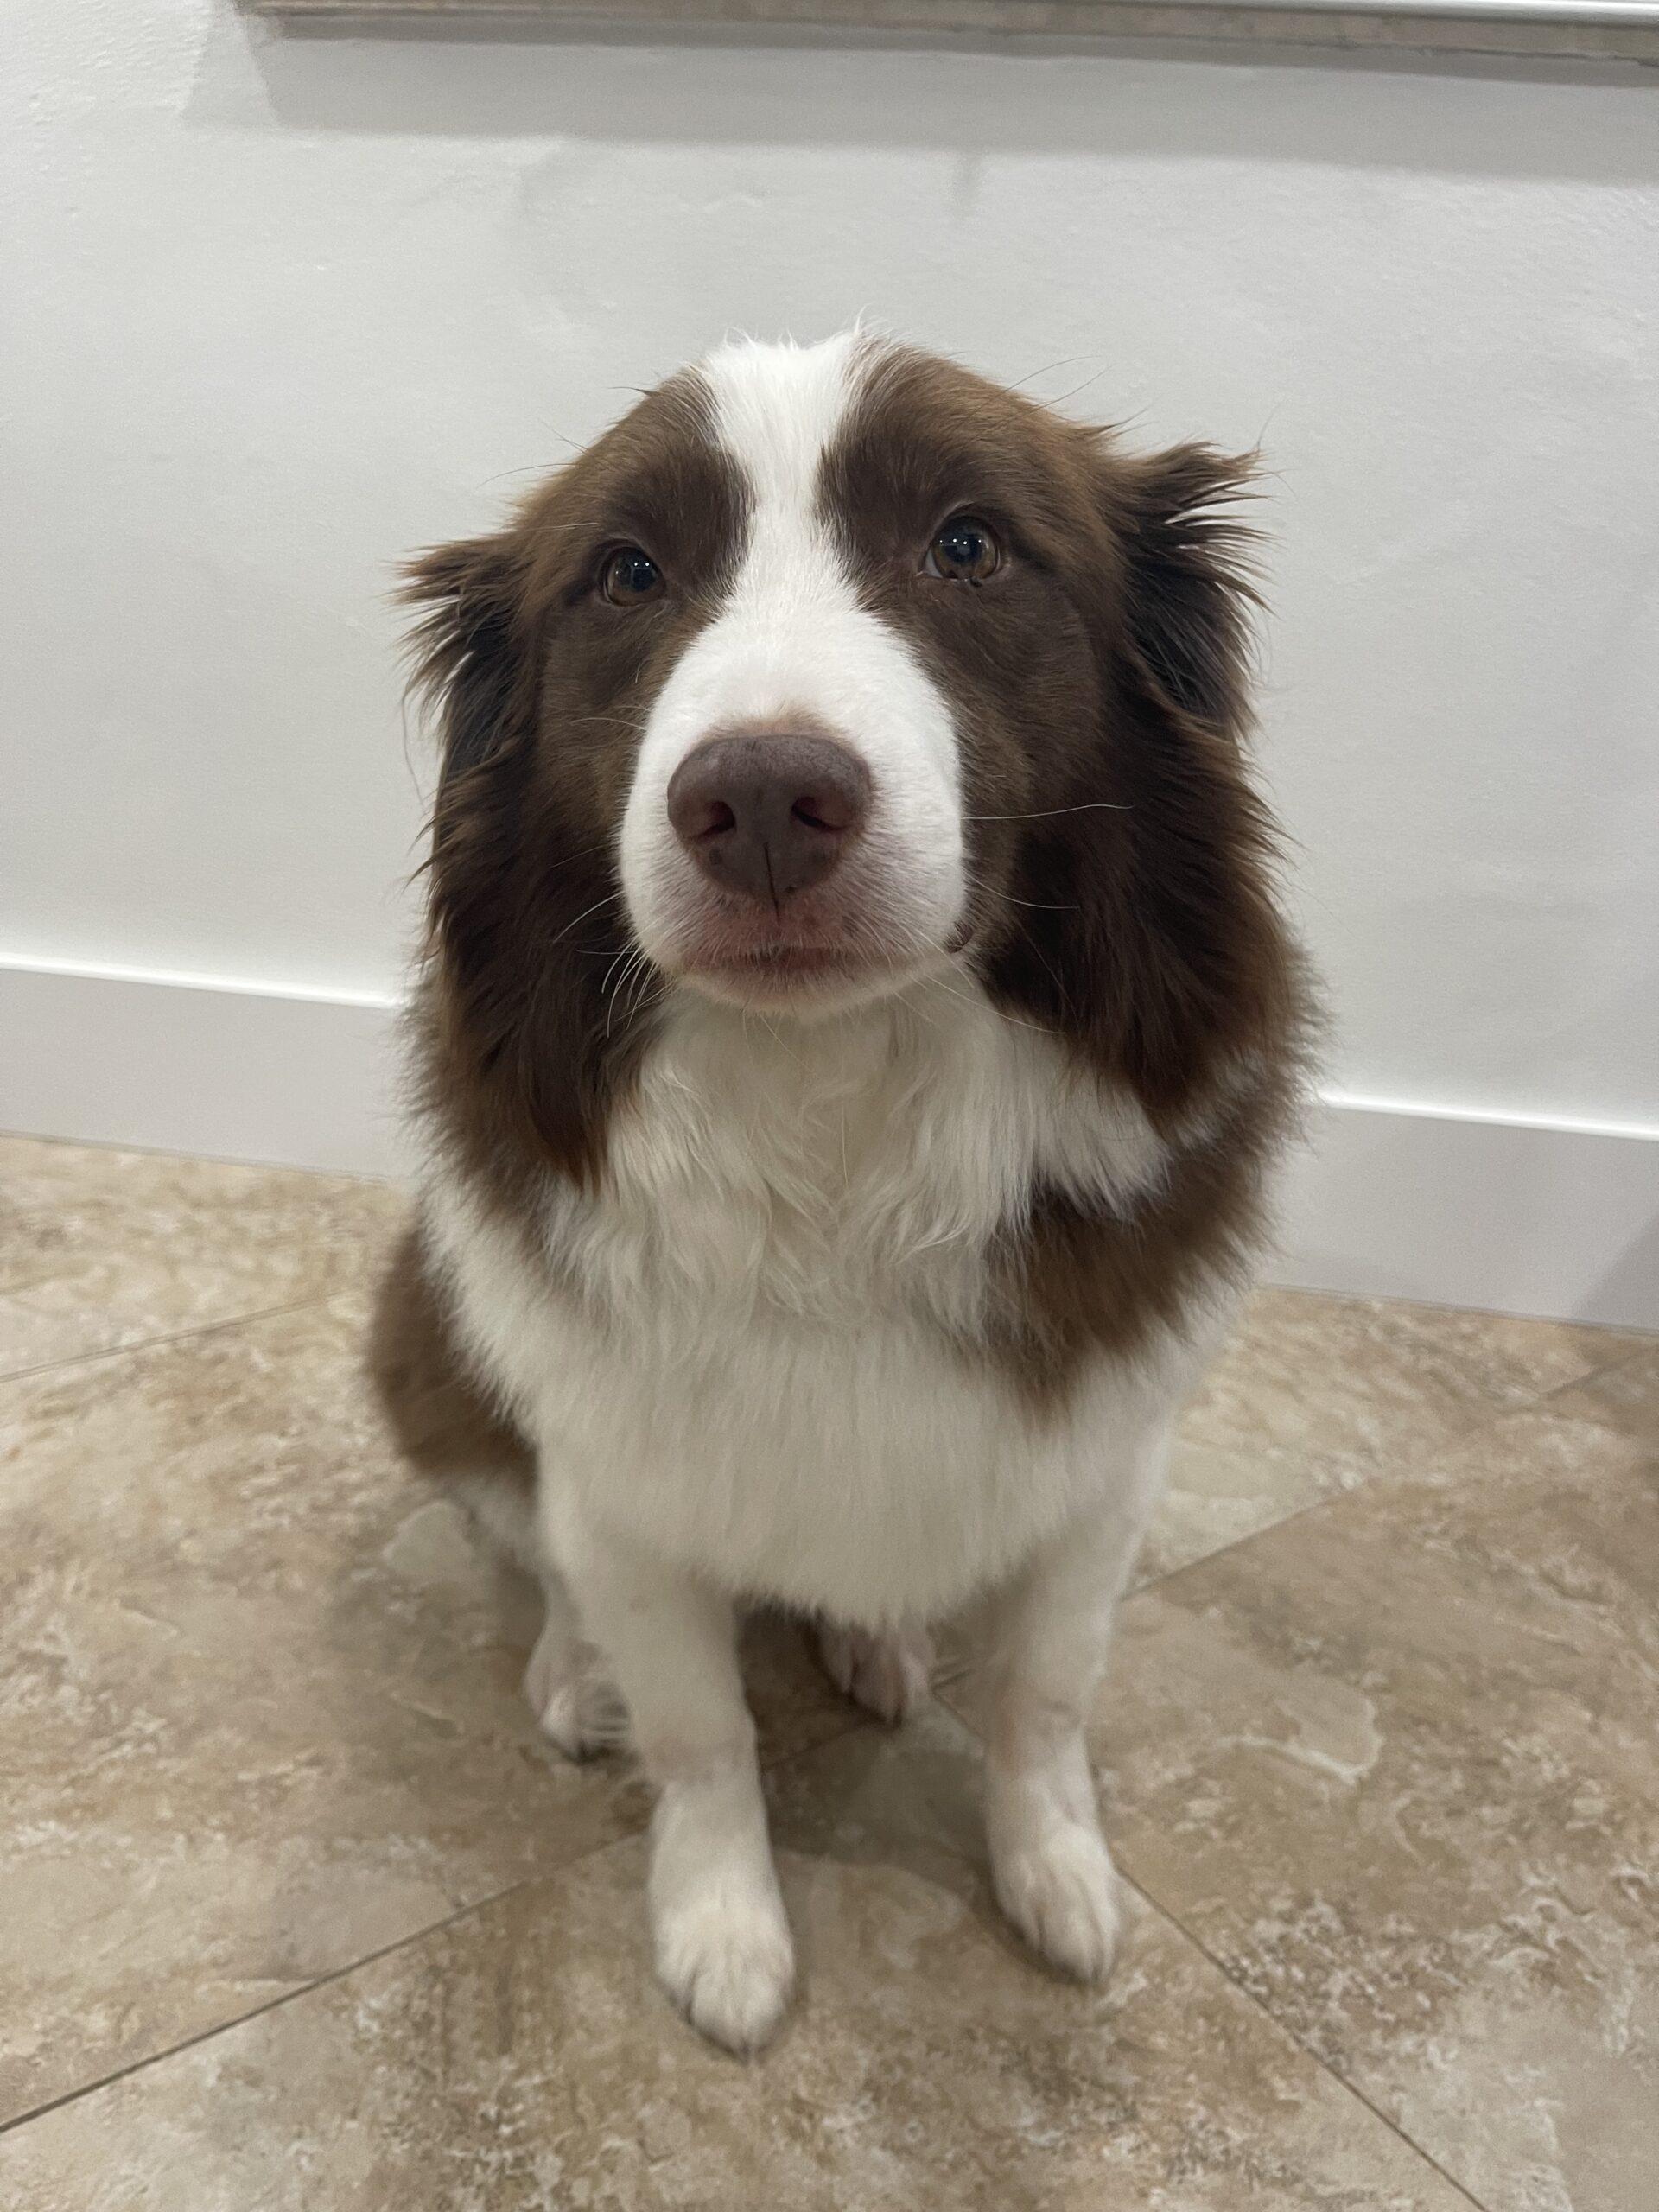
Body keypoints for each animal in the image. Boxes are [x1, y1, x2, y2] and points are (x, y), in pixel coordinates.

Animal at [371, 331, 1311, 2053]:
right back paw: (576, 1673)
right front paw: (723, 1928)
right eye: (627, 574)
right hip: (429, 1337)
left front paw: (1055, 1871)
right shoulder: (622, 1461)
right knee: (536, 1547)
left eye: (969, 545)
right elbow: (701, 1732)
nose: (758, 801)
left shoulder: (1104, 1457)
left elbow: (1045, 1695)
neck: (839, 1114)